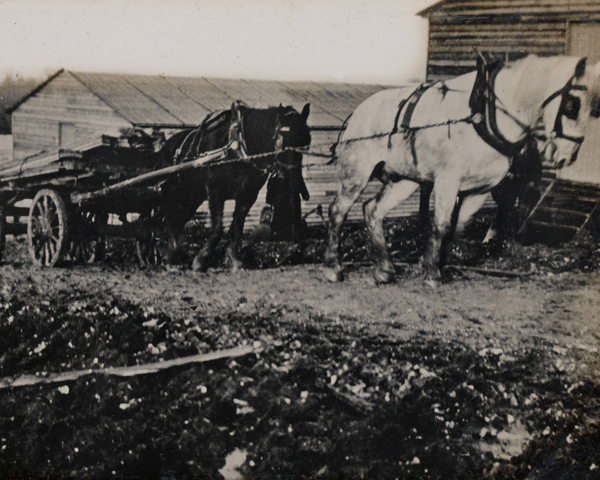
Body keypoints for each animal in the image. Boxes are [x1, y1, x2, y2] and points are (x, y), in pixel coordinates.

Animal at [152, 101, 310, 270]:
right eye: (284, 136)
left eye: (305, 142)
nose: (291, 178)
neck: (236, 148)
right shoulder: (215, 191)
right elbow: (217, 228)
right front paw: (201, 260)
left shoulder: (247, 195)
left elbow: (237, 227)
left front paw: (232, 259)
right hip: (172, 194)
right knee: (170, 220)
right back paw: (172, 256)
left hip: (192, 197)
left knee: (177, 220)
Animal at [324, 54, 600, 284]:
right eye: (572, 105)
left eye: (593, 108)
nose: (567, 156)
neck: (484, 116)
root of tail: (357, 113)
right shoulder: (447, 181)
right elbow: (441, 225)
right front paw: (432, 274)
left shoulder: (478, 191)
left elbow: (457, 228)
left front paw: (443, 267)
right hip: (356, 174)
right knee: (337, 212)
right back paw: (333, 268)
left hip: (404, 180)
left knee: (373, 210)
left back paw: (384, 270)